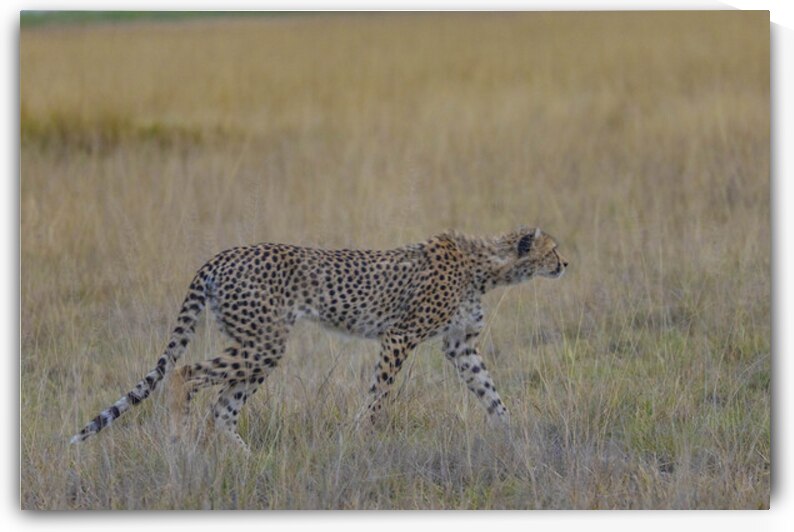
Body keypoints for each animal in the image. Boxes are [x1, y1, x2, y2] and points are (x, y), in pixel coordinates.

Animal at [70, 226, 568, 450]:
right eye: (554, 249)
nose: (566, 264)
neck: (487, 266)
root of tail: (223, 254)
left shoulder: (459, 346)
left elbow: (490, 392)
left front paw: (514, 435)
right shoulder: (399, 336)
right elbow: (379, 395)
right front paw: (360, 435)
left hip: (259, 347)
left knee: (222, 408)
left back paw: (247, 459)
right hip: (263, 342)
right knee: (186, 374)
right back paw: (179, 439)